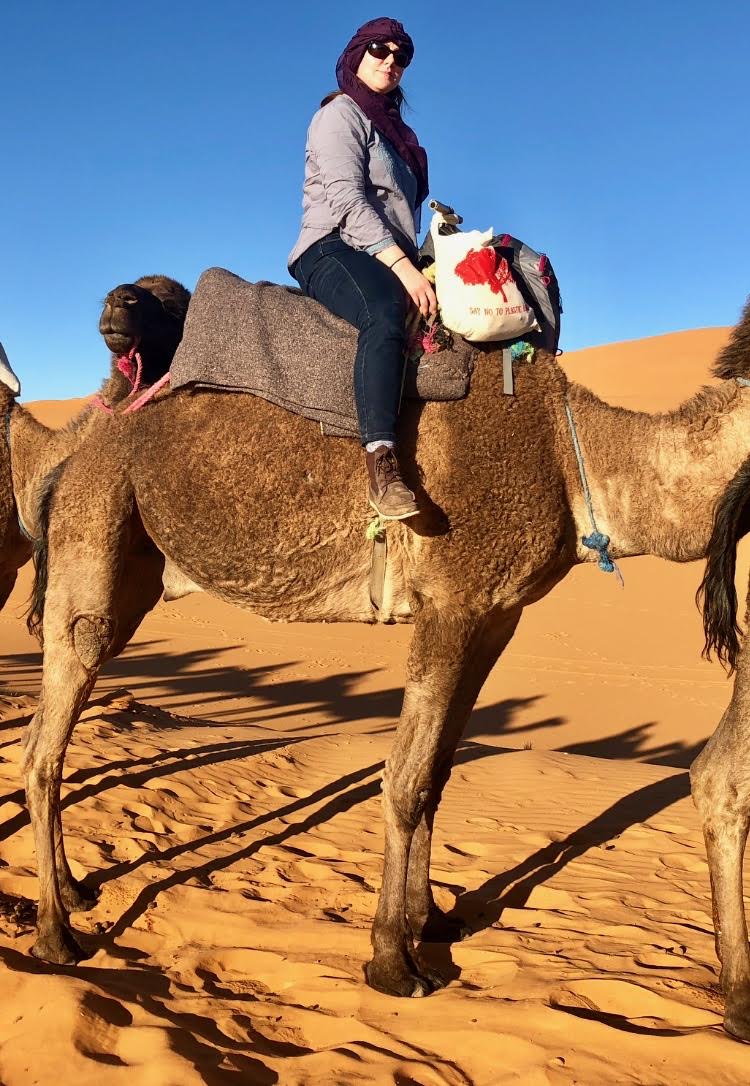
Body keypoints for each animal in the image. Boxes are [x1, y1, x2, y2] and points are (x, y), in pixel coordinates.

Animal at [23, 297, 750, 999]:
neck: (576, 459)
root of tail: (71, 456)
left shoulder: (495, 617)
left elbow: (438, 773)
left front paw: (431, 919)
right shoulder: (452, 604)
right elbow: (404, 778)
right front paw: (393, 960)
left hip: (132, 568)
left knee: (44, 728)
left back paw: (72, 891)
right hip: (96, 526)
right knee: (48, 736)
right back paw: (58, 936)